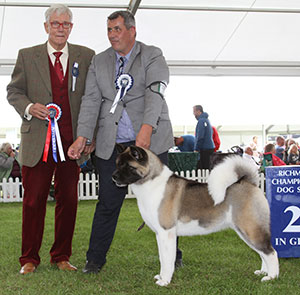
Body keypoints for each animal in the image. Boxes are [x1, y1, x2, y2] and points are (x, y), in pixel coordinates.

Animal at [112, 146, 278, 286]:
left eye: (128, 166)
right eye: (117, 164)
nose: (113, 177)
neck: (151, 183)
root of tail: (250, 183)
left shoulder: (167, 233)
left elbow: (167, 259)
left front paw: (164, 281)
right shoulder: (160, 234)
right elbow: (162, 257)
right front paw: (161, 276)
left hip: (250, 229)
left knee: (270, 252)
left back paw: (272, 277)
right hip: (247, 231)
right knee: (263, 252)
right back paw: (263, 272)